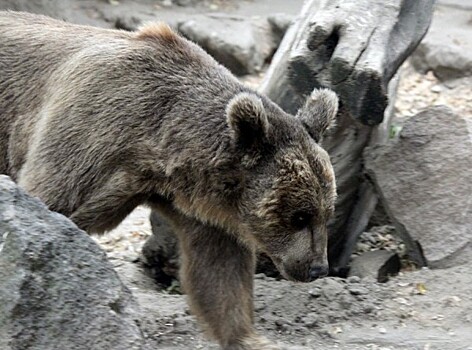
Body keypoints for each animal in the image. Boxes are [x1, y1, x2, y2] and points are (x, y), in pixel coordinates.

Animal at [0, 10, 340, 350]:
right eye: (299, 216)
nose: (317, 267)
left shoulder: (203, 209)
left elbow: (220, 273)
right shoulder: (89, 135)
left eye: (326, 213)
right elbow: (50, 202)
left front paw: (249, 338)